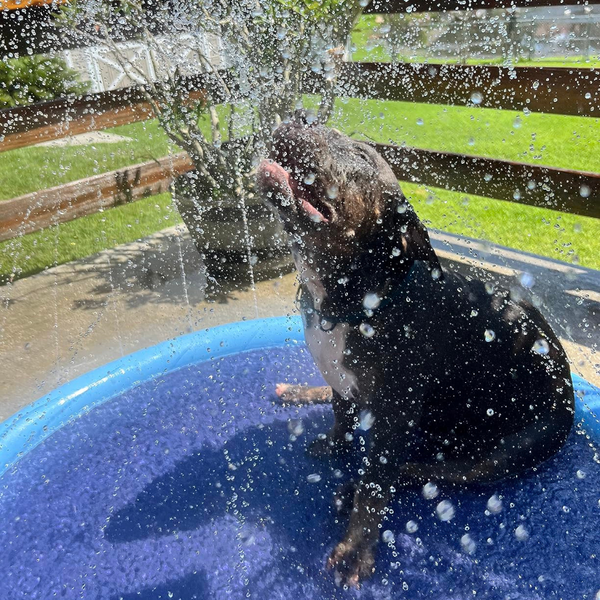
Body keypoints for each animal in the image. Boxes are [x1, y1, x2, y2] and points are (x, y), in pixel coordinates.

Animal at [255, 112, 576, 584]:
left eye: (361, 155)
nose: (302, 117)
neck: (362, 298)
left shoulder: (395, 416)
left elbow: (376, 486)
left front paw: (357, 546)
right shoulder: (341, 381)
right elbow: (341, 417)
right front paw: (334, 442)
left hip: (509, 451)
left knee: (432, 472)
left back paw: (357, 485)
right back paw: (299, 392)